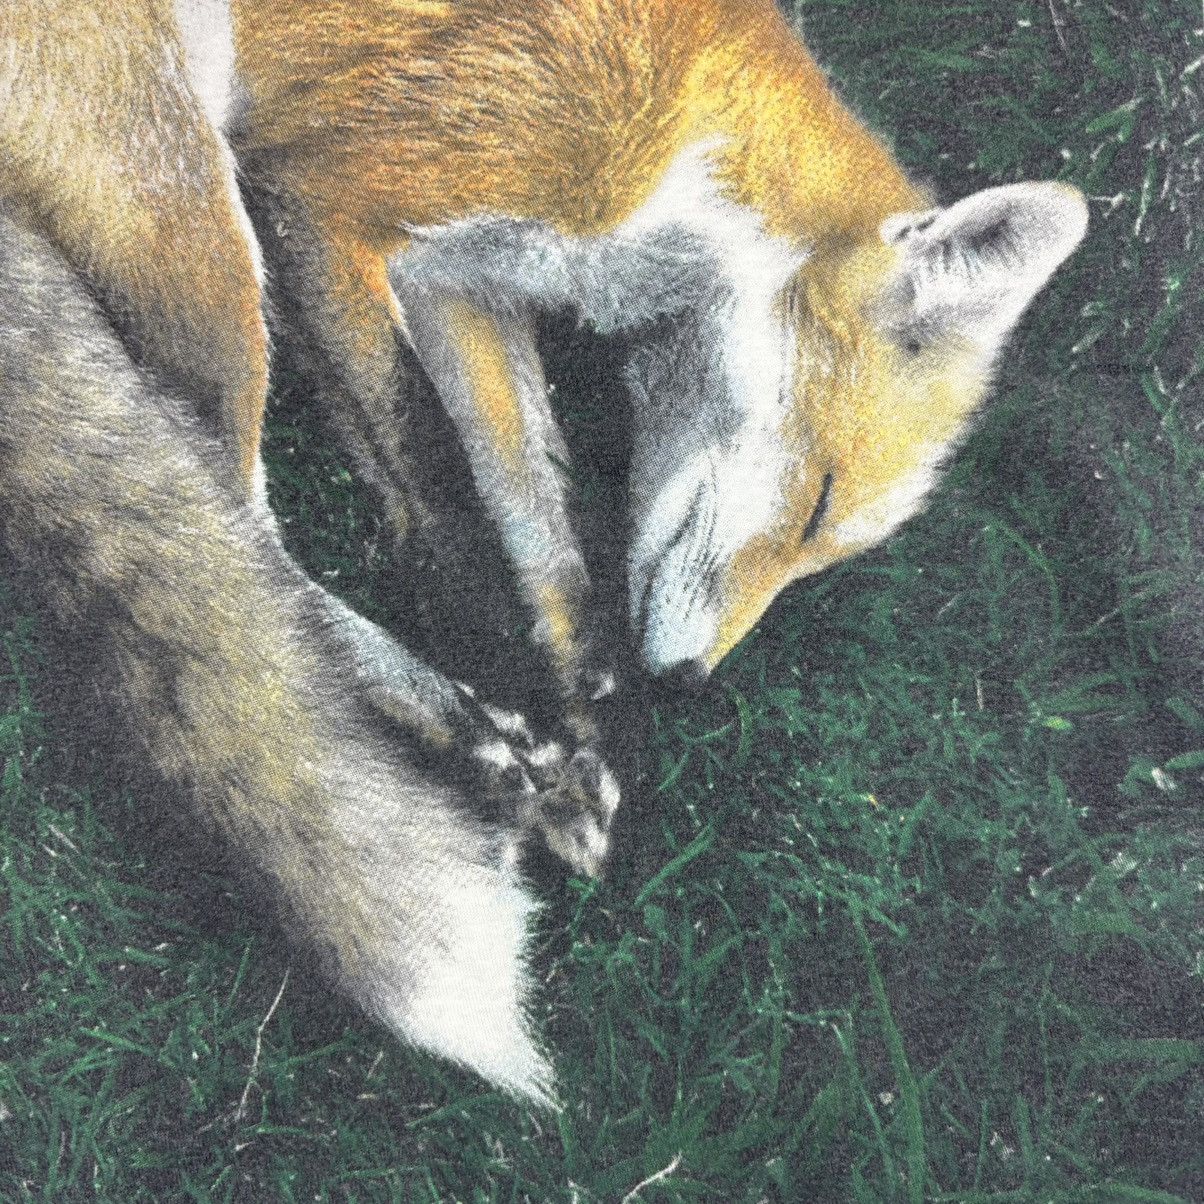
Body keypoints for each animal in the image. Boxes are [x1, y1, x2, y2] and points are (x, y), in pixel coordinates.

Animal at [0, 0, 625, 1107]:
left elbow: (517, 477)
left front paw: (564, 678)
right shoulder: (338, 208)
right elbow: (435, 458)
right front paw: (497, 645)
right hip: (197, 207)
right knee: (241, 528)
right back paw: (474, 740)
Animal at [226, 0, 1088, 718]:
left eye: (820, 558)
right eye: (818, 506)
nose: (688, 685)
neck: (683, 142)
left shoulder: (457, 279)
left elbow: (528, 493)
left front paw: (574, 681)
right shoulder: (325, 200)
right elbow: (431, 471)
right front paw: (496, 679)